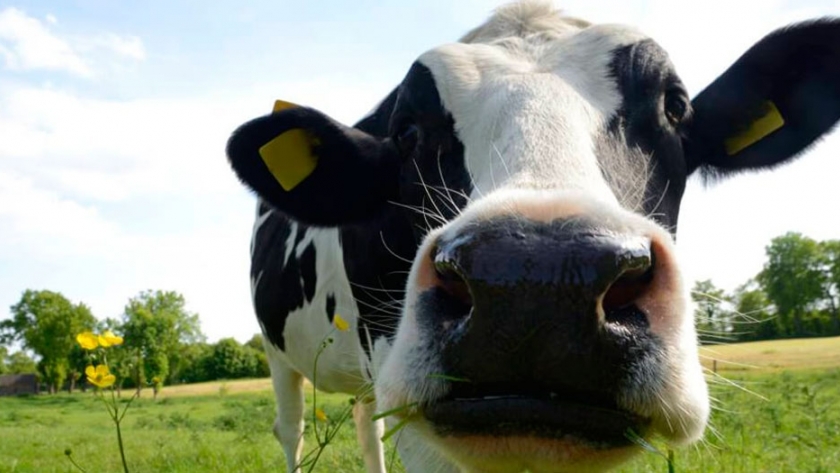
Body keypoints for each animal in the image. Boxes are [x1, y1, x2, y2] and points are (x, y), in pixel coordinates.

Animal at [226, 2, 840, 472]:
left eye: (675, 105)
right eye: (406, 130)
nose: (536, 279)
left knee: (362, 423)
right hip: (277, 353)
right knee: (292, 429)